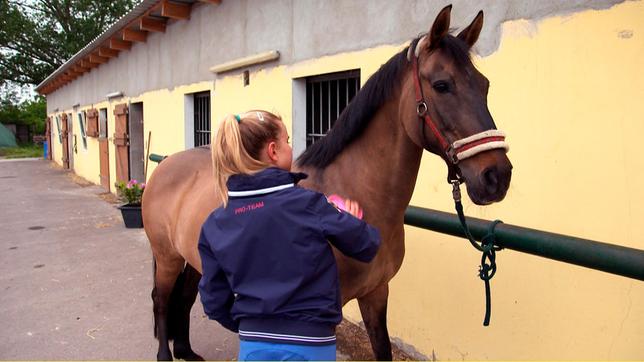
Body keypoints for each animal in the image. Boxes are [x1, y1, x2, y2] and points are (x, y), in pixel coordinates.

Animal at [142, 4, 512, 360]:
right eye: (441, 85)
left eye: (485, 85)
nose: (497, 176)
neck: (358, 195)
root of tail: (166, 166)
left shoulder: (376, 292)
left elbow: (382, 348)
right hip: (167, 257)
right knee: (161, 300)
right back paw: (166, 355)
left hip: (193, 260)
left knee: (185, 298)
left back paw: (187, 352)